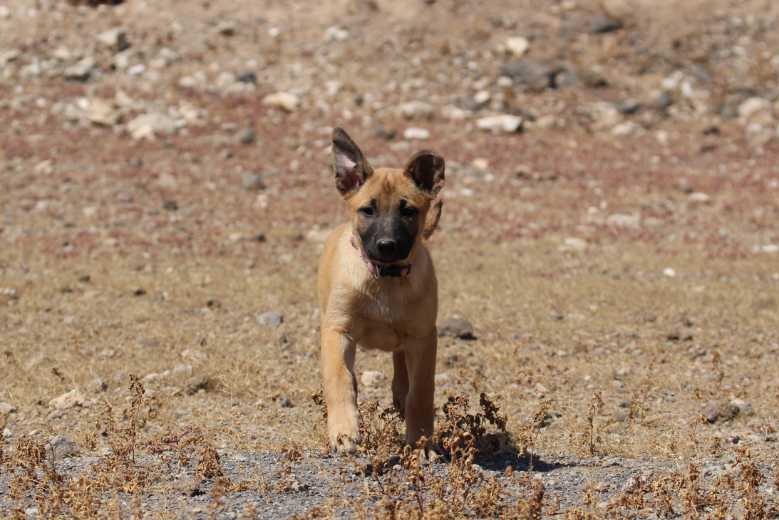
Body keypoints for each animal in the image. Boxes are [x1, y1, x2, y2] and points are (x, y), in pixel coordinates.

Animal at [318, 128, 445, 453]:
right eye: (367, 210)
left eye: (408, 211)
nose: (387, 245)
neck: (385, 279)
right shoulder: (337, 330)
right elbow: (339, 379)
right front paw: (344, 429)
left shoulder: (424, 337)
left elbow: (421, 392)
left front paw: (421, 439)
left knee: (402, 366)